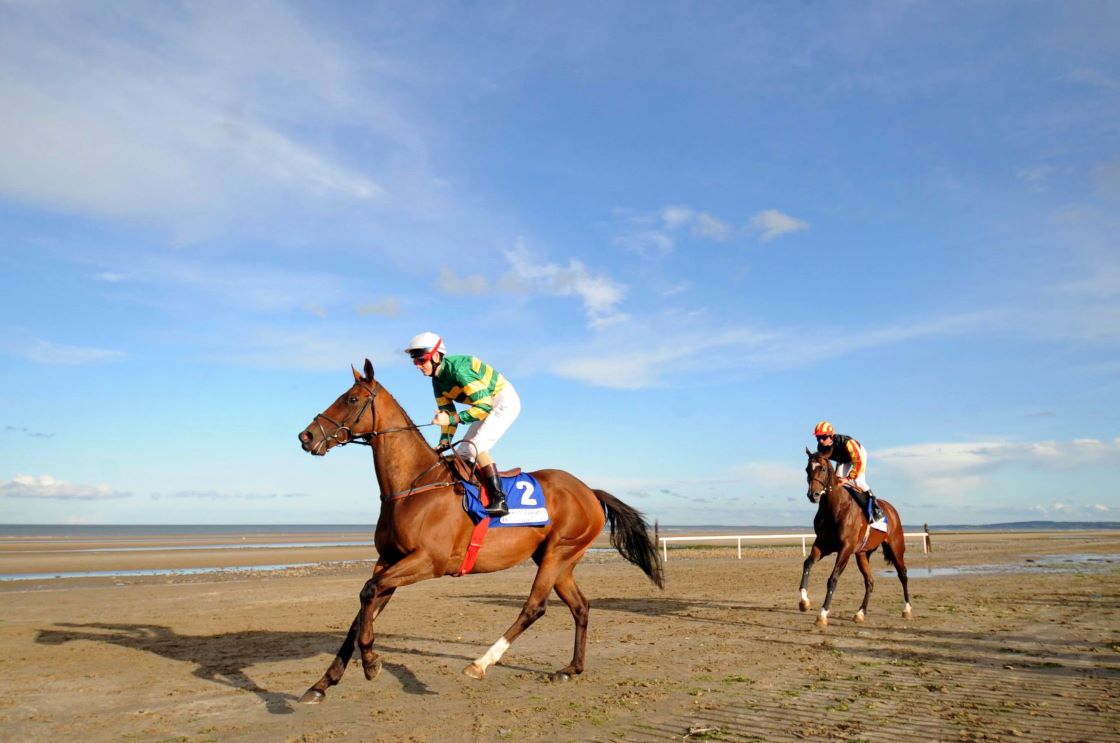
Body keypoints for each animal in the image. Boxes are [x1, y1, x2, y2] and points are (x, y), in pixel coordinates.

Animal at [295, 360, 663, 703]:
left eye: (351, 398)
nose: (306, 436)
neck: (414, 486)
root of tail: (589, 490)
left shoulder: (428, 561)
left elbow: (368, 594)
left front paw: (371, 662)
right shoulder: (388, 561)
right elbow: (361, 611)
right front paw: (322, 683)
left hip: (559, 552)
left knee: (535, 607)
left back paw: (481, 663)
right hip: (560, 560)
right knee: (581, 606)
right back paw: (572, 668)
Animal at [797, 448, 909, 627]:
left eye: (822, 468)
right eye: (807, 469)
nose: (813, 495)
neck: (835, 507)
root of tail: (891, 509)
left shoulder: (846, 548)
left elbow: (833, 578)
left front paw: (822, 614)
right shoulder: (823, 544)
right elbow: (807, 564)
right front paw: (804, 602)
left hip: (896, 547)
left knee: (903, 574)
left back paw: (907, 609)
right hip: (862, 554)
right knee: (870, 581)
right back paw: (860, 613)